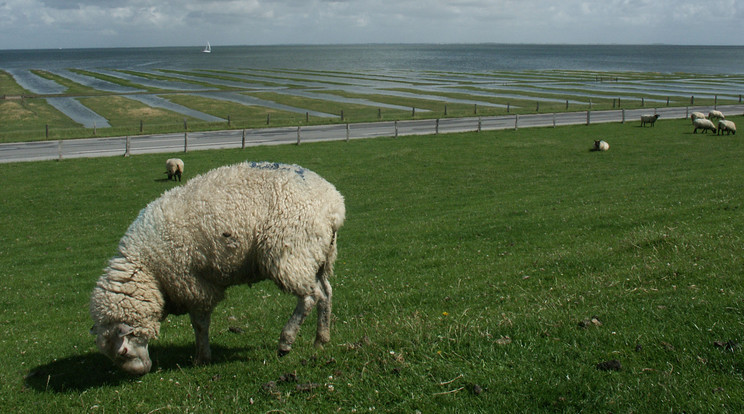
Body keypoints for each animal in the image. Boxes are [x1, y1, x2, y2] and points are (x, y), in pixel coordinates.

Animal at [91, 162, 348, 376]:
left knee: (309, 297)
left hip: (291, 253)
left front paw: (201, 357)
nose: (140, 372)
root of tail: (334, 204)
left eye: (123, 352)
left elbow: (200, 324)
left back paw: (286, 341)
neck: (149, 270)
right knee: (325, 293)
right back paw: (321, 338)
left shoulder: (193, 284)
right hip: (318, 256)